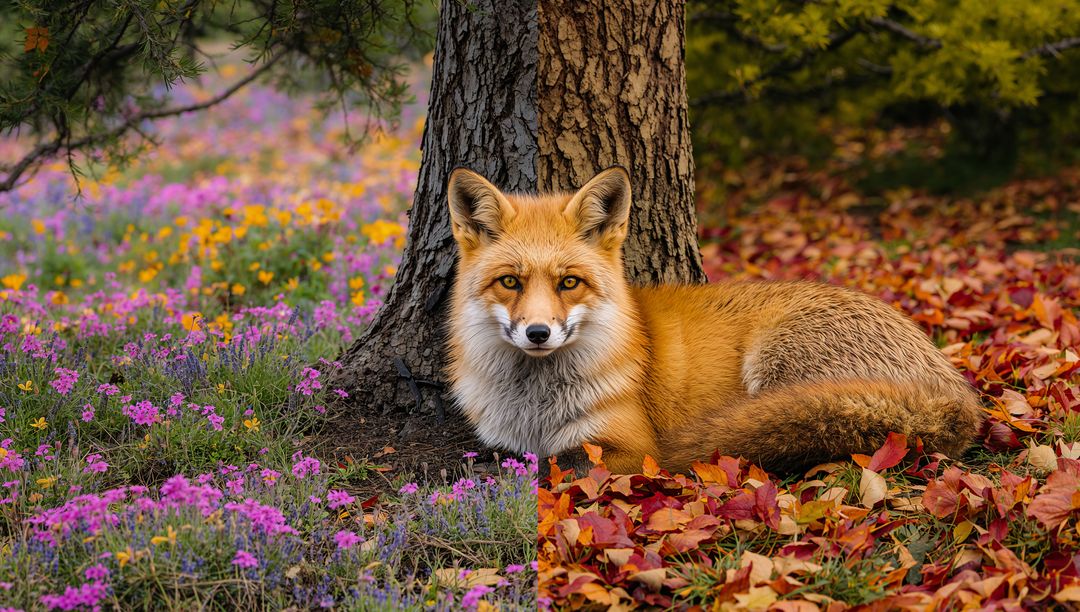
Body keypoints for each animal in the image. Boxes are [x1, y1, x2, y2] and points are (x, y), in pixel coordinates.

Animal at [444, 166, 984, 475]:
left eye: (569, 283)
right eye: (510, 282)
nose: (538, 333)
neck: (534, 407)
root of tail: (956, 393)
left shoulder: (626, 445)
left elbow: (555, 466)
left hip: (778, 366)